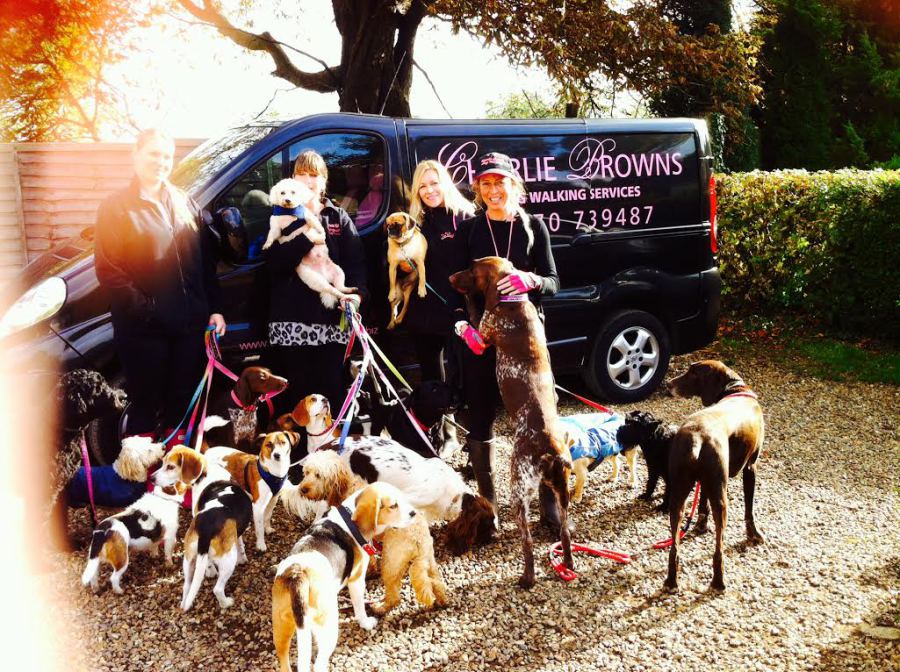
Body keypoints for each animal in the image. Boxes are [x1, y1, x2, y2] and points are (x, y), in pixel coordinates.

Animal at [152, 446, 253, 610]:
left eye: (170, 466)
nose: (151, 478)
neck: (206, 473)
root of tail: (206, 527)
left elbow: (239, 543)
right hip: (227, 560)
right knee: (217, 589)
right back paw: (226, 602)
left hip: (188, 558)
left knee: (187, 585)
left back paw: (184, 604)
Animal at [272, 482, 417, 672]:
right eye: (393, 505)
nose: (414, 513)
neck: (349, 519)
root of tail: (298, 575)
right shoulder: (356, 581)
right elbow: (360, 607)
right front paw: (366, 623)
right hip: (328, 628)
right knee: (318, 663)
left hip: (281, 630)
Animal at [449, 256, 574, 588]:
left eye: (471, 269)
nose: (451, 276)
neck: (513, 302)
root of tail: (550, 449)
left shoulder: (481, 338)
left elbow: (472, 319)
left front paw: (461, 317)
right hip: (561, 494)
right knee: (565, 531)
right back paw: (567, 564)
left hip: (519, 489)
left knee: (527, 540)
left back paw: (527, 578)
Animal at [664, 360, 765, 592]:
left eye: (694, 373)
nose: (669, 384)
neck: (735, 389)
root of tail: (697, 438)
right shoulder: (751, 467)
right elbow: (749, 509)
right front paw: (753, 534)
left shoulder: (704, 482)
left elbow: (702, 504)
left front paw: (701, 525)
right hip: (721, 498)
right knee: (719, 548)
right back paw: (719, 581)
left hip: (678, 496)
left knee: (674, 547)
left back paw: (672, 580)